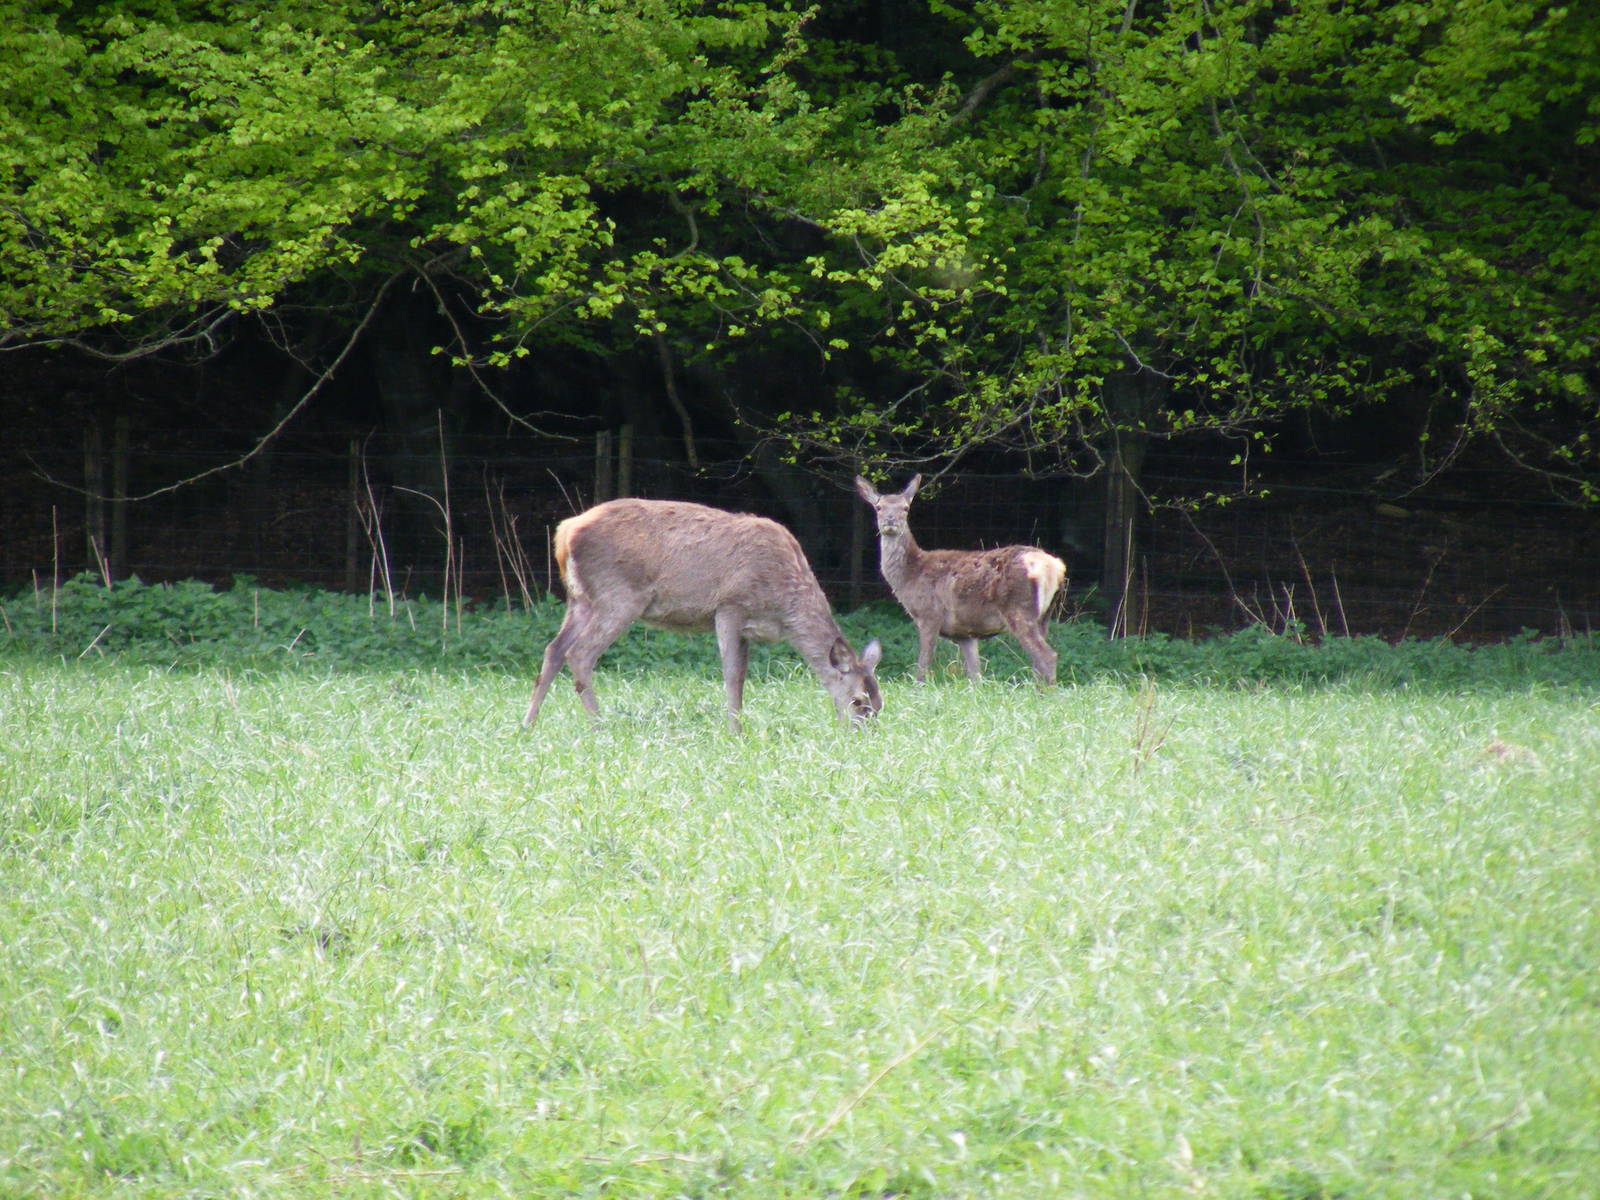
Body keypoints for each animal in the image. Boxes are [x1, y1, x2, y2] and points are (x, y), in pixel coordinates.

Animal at [523, 498, 883, 732]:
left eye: (879, 703)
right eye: (857, 701)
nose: (862, 735)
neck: (784, 608)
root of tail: (564, 533)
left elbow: (741, 674)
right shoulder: (729, 606)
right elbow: (733, 674)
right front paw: (735, 731)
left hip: (580, 599)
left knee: (554, 649)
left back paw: (529, 723)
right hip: (618, 595)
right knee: (580, 652)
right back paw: (599, 726)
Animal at [855, 474, 1066, 685]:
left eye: (905, 508)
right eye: (879, 507)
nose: (890, 520)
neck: (910, 575)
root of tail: (1055, 567)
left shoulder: (929, 614)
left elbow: (922, 665)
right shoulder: (965, 633)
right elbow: (975, 676)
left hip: (1019, 608)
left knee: (1047, 655)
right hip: (1044, 616)